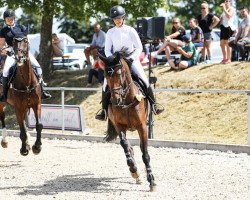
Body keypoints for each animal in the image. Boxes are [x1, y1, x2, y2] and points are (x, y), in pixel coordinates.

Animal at [99, 52, 156, 192]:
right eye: (105, 75)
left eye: (119, 74)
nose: (115, 100)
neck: (126, 100)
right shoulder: (119, 126)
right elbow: (125, 146)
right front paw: (134, 170)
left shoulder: (142, 127)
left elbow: (145, 153)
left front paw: (151, 181)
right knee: (129, 147)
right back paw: (136, 174)